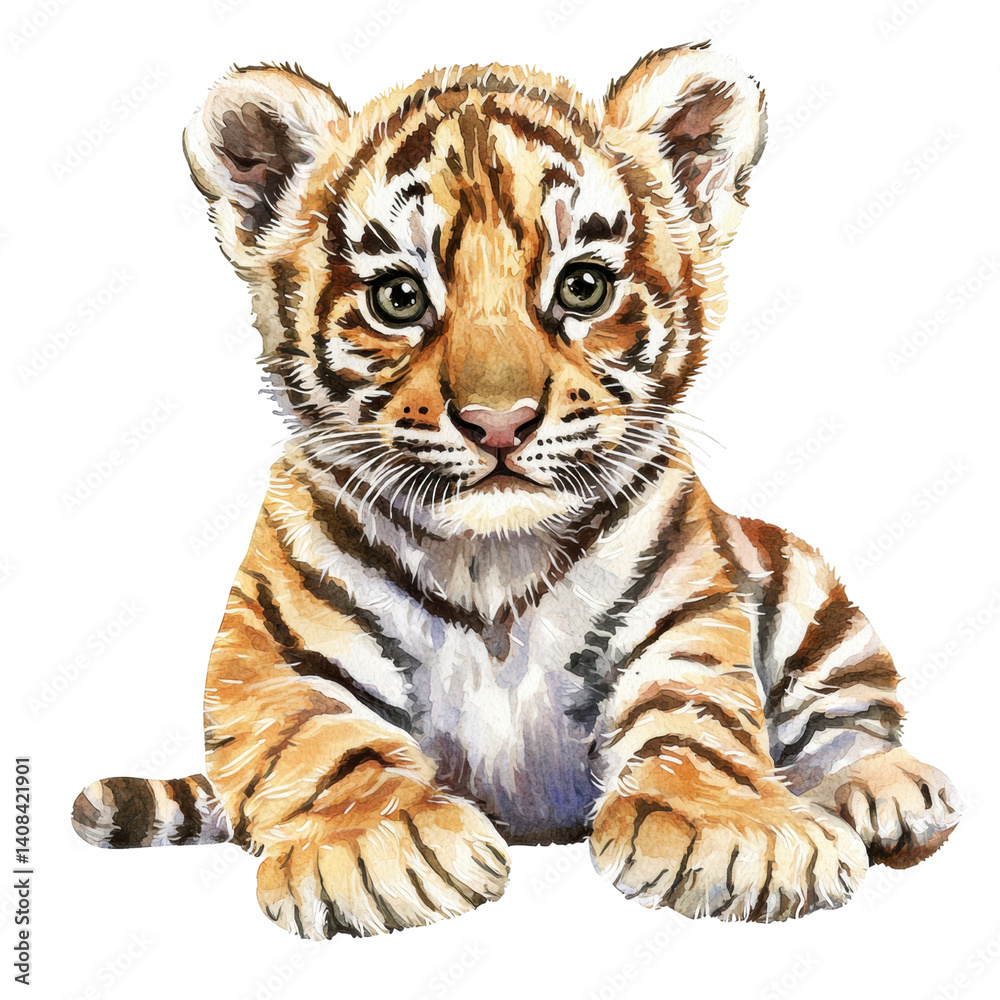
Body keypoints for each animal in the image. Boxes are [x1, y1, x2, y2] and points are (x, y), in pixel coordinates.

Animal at [71, 42, 960, 937]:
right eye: (398, 298)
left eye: (583, 287)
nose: (499, 424)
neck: (490, 559)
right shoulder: (272, 655)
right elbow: (320, 743)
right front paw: (382, 849)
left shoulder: (682, 621)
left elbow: (698, 721)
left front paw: (738, 835)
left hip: (808, 590)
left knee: (851, 719)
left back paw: (889, 791)